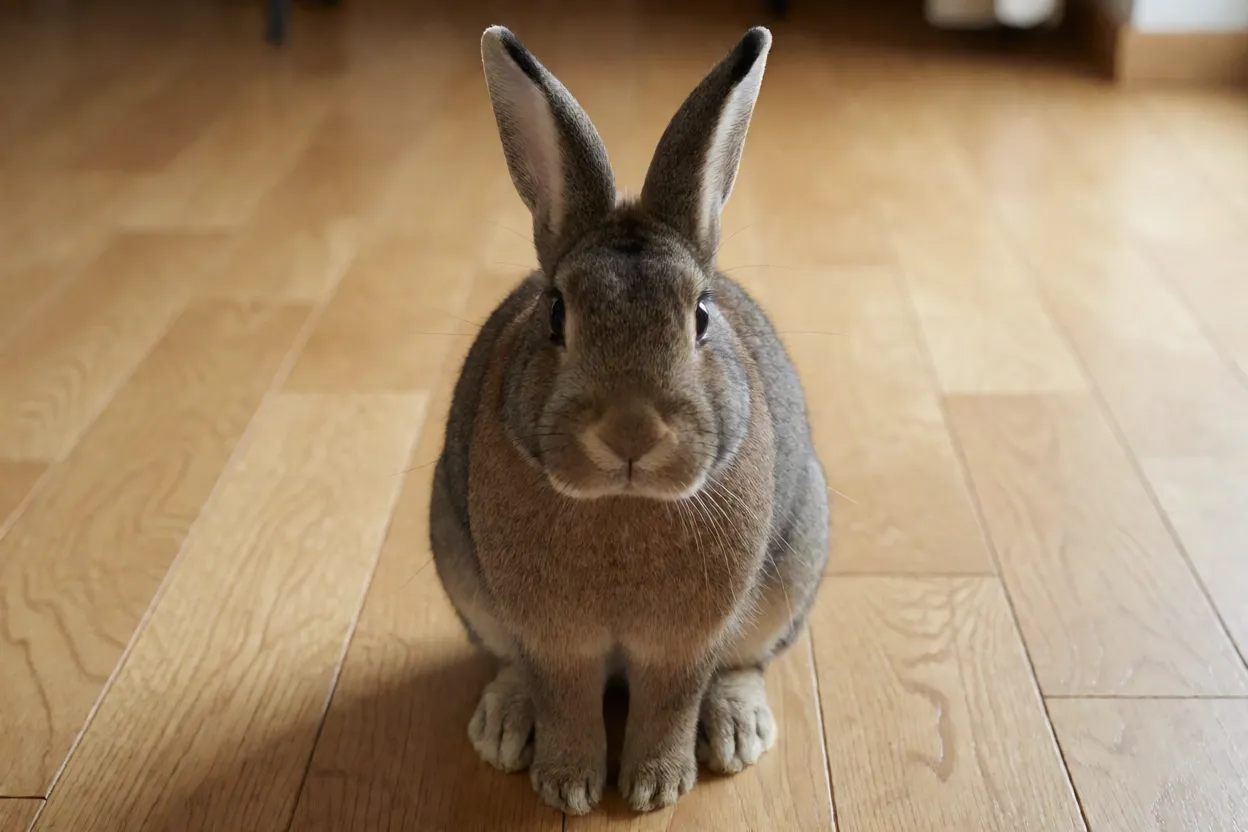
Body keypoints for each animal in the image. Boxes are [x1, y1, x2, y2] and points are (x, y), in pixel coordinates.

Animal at [429, 24, 829, 816]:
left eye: (700, 314)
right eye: (556, 312)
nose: (630, 434)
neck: (622, 504)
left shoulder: (684, 646)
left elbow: (672, 702)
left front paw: (655, 788)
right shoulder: (555, 642)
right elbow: (564, 699)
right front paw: (569, 787)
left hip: (793, 570)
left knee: (746, 665)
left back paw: (737, 733)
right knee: (510, 668)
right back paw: (502, 728)